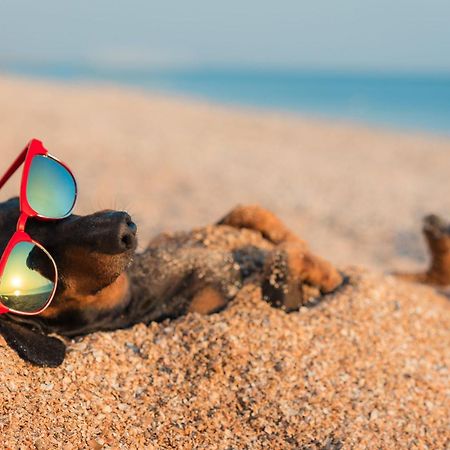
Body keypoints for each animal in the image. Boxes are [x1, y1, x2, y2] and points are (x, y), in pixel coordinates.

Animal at [0, 199, 342, 368]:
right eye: (41, 266)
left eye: (47, 216)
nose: (124, 227)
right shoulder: (278, 302)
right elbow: (283, 257)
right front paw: (330, 274)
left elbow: (249, 213)